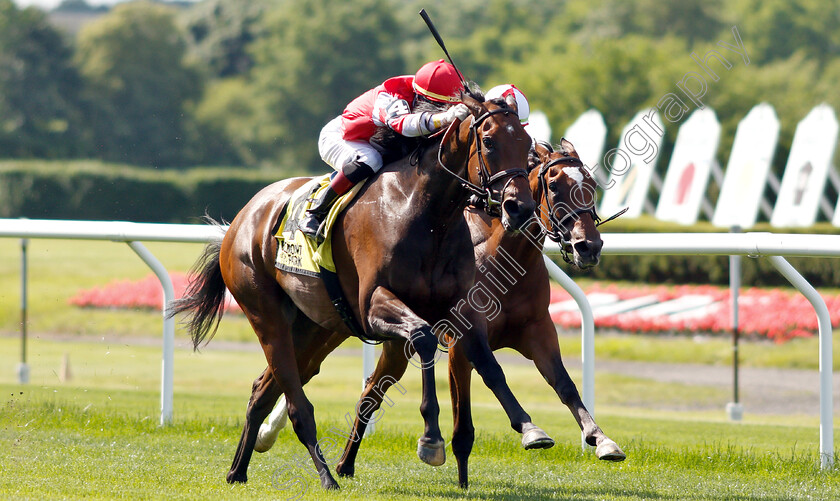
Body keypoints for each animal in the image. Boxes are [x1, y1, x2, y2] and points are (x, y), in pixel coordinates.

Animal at [170, 93, 556, 488]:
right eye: (489, 141)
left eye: (527, 146)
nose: (520, 208)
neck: (426, 214)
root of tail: (242, 217)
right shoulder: (373, 305)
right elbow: (423, 338)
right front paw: (430, 439)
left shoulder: (460, 309)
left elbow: (490, 365)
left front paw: (530, 428)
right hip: (266, 313)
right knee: (296, 403)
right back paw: (326, 476)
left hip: (314, 325)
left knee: (262, 392)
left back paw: (238, 471)